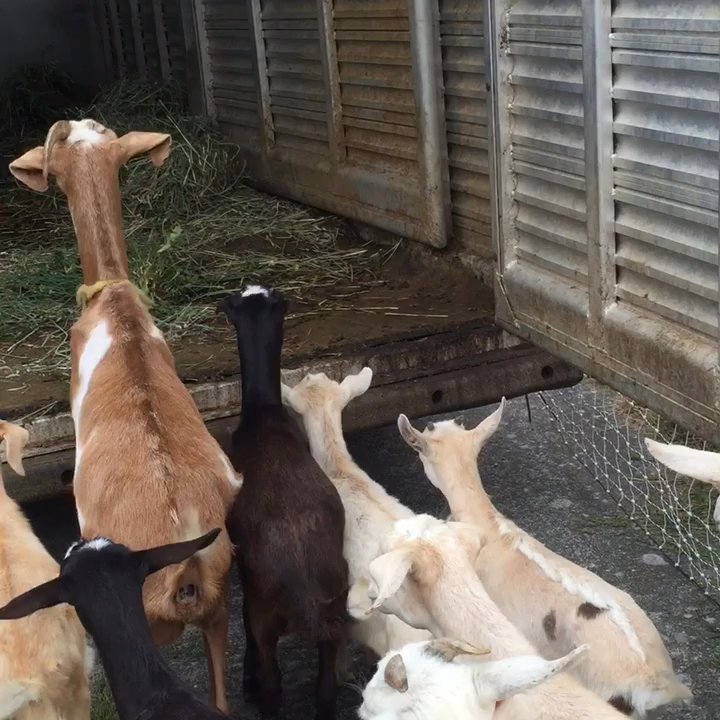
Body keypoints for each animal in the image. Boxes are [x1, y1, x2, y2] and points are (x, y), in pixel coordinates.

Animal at [221, 286, 350, 720]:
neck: (264, 415)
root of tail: (305, 593)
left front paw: (245, 679)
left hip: (266, 613)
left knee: (273, 686)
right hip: (335, 612)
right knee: (326, 688)